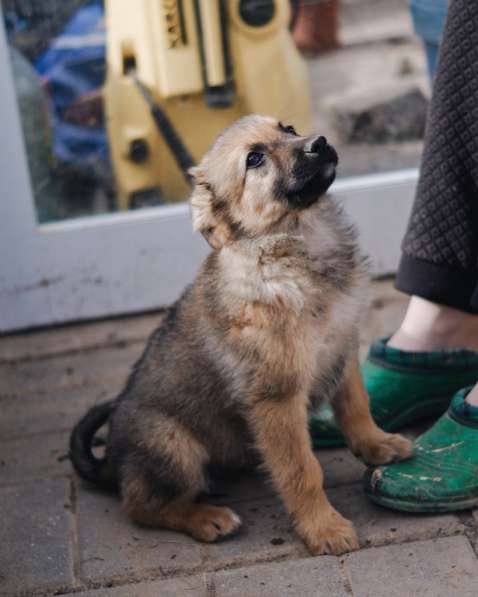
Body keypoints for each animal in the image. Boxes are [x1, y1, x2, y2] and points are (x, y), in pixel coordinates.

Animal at [70, 115, 410, 556]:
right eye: (254, 159)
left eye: (288, 128)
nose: (319, 142)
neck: (299, 243)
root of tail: (112, 462)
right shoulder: (277, 397)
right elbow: (302, 471)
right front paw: (323, 528)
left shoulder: (342, 348)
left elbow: (356, 407)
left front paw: (376, 444)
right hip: (173, 446)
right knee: (141, 505)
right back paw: (207, 518)